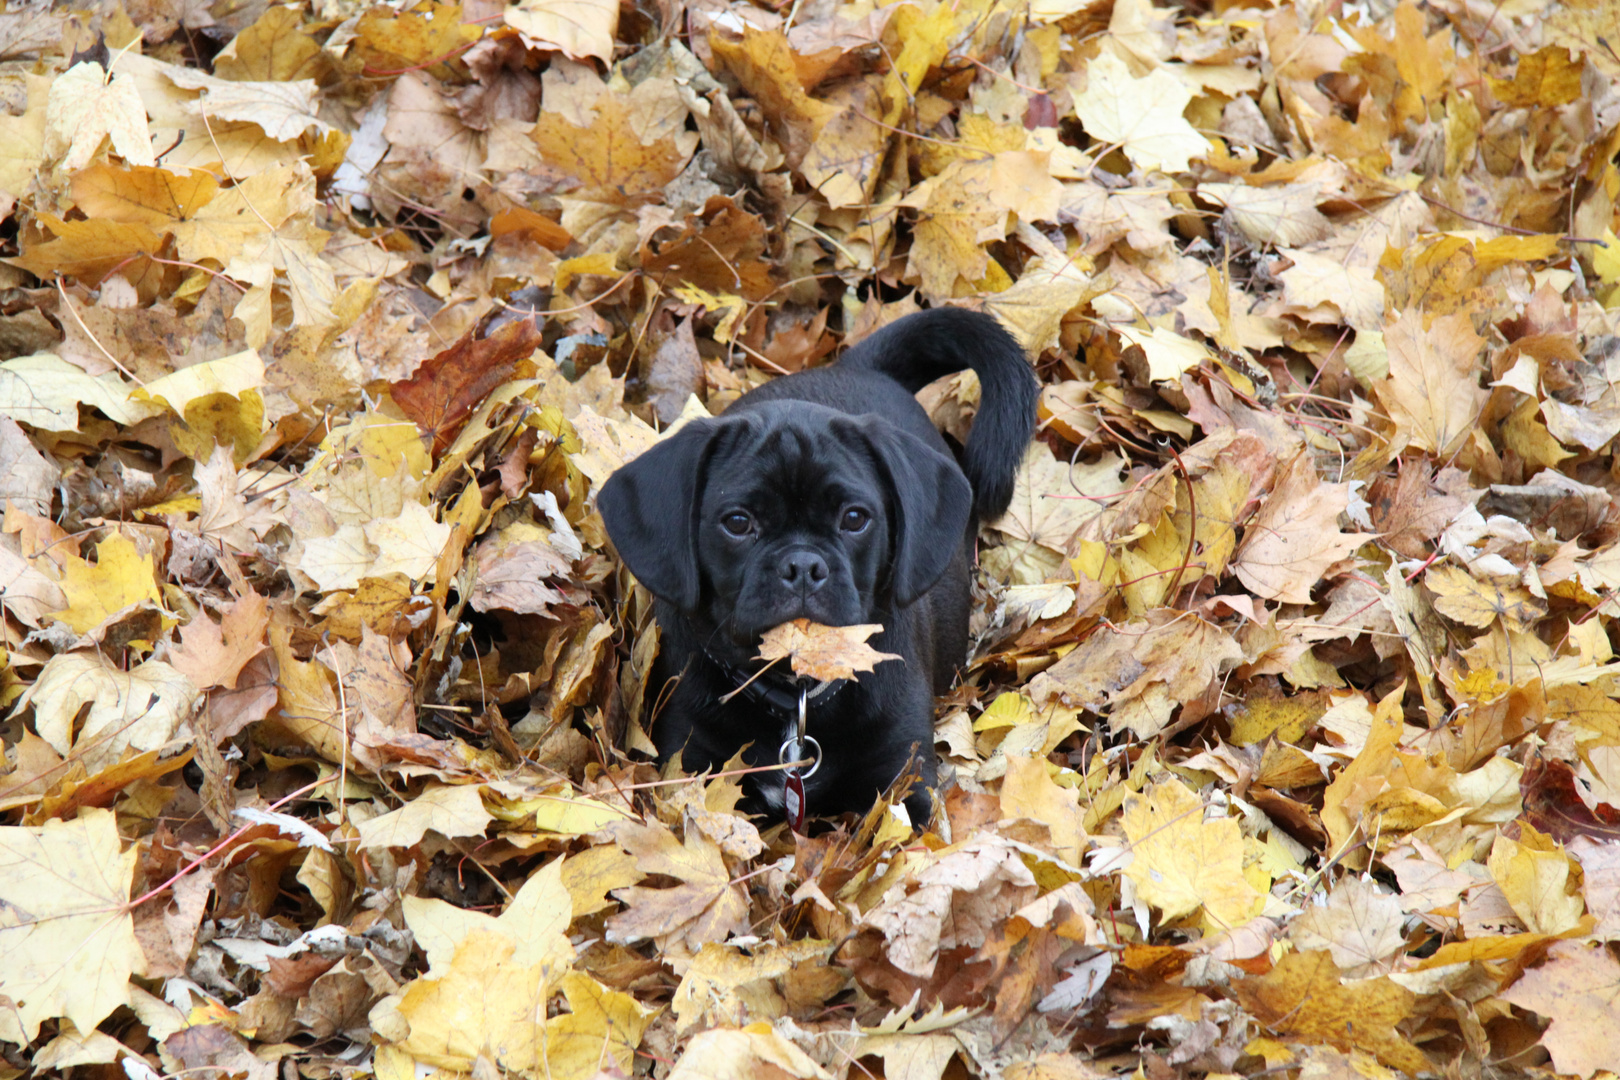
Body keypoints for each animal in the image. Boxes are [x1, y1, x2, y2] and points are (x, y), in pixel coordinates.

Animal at [596, 307, 1036, 822]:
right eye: (738, 522)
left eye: (854, 518)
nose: (803, 565)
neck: (797, 697)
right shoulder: (689, 765)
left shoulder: (904, 779)